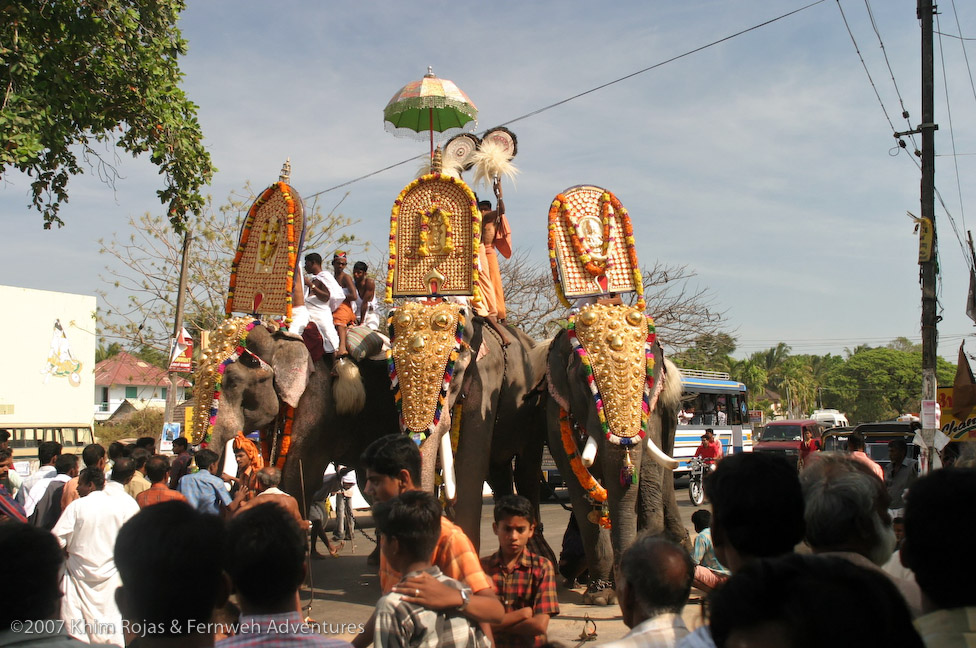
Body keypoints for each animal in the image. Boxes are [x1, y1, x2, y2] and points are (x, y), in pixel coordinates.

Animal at [540, 304, 688, 608]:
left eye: (648, 379)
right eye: (583, 379)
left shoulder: (653, 410)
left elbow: (646, 478)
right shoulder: (555, 411)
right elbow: (581, 492)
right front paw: (600, 596)